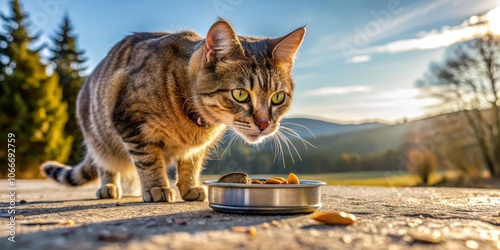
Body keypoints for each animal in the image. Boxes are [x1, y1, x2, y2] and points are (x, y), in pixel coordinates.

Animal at [41, 18, 304, 202]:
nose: (264, 123)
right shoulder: (130, 122)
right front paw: (157, 187)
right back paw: (110, 187)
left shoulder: (196, 148)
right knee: (107, 165)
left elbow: (191, 164)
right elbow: (149, 160)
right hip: (99, 137)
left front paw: (190, 187)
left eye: (278, 97)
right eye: (240, 94)